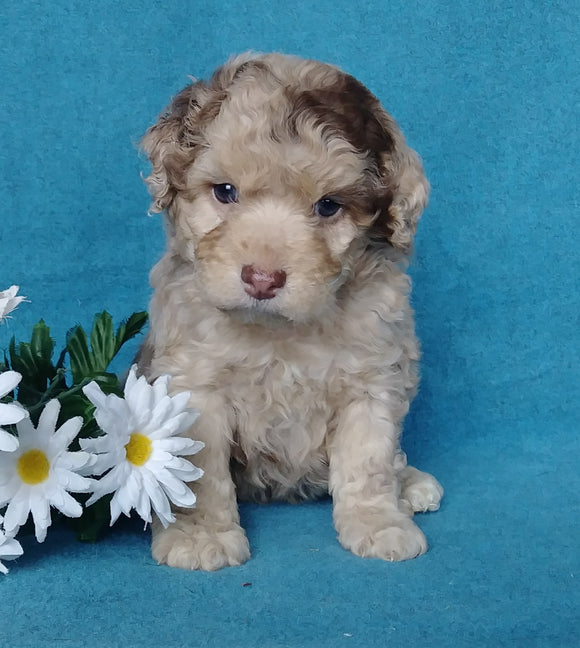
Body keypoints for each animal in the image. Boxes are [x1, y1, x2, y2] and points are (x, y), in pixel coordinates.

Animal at [138, 52, 442, 572]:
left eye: (328, 206)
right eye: (225, 191)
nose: (263, 278)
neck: (280, 333)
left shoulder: (373, 380)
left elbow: (370, 460)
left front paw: (378, 522)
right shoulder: (196, 382)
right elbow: (198, 473)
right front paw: (201, 535)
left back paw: (411, 483)